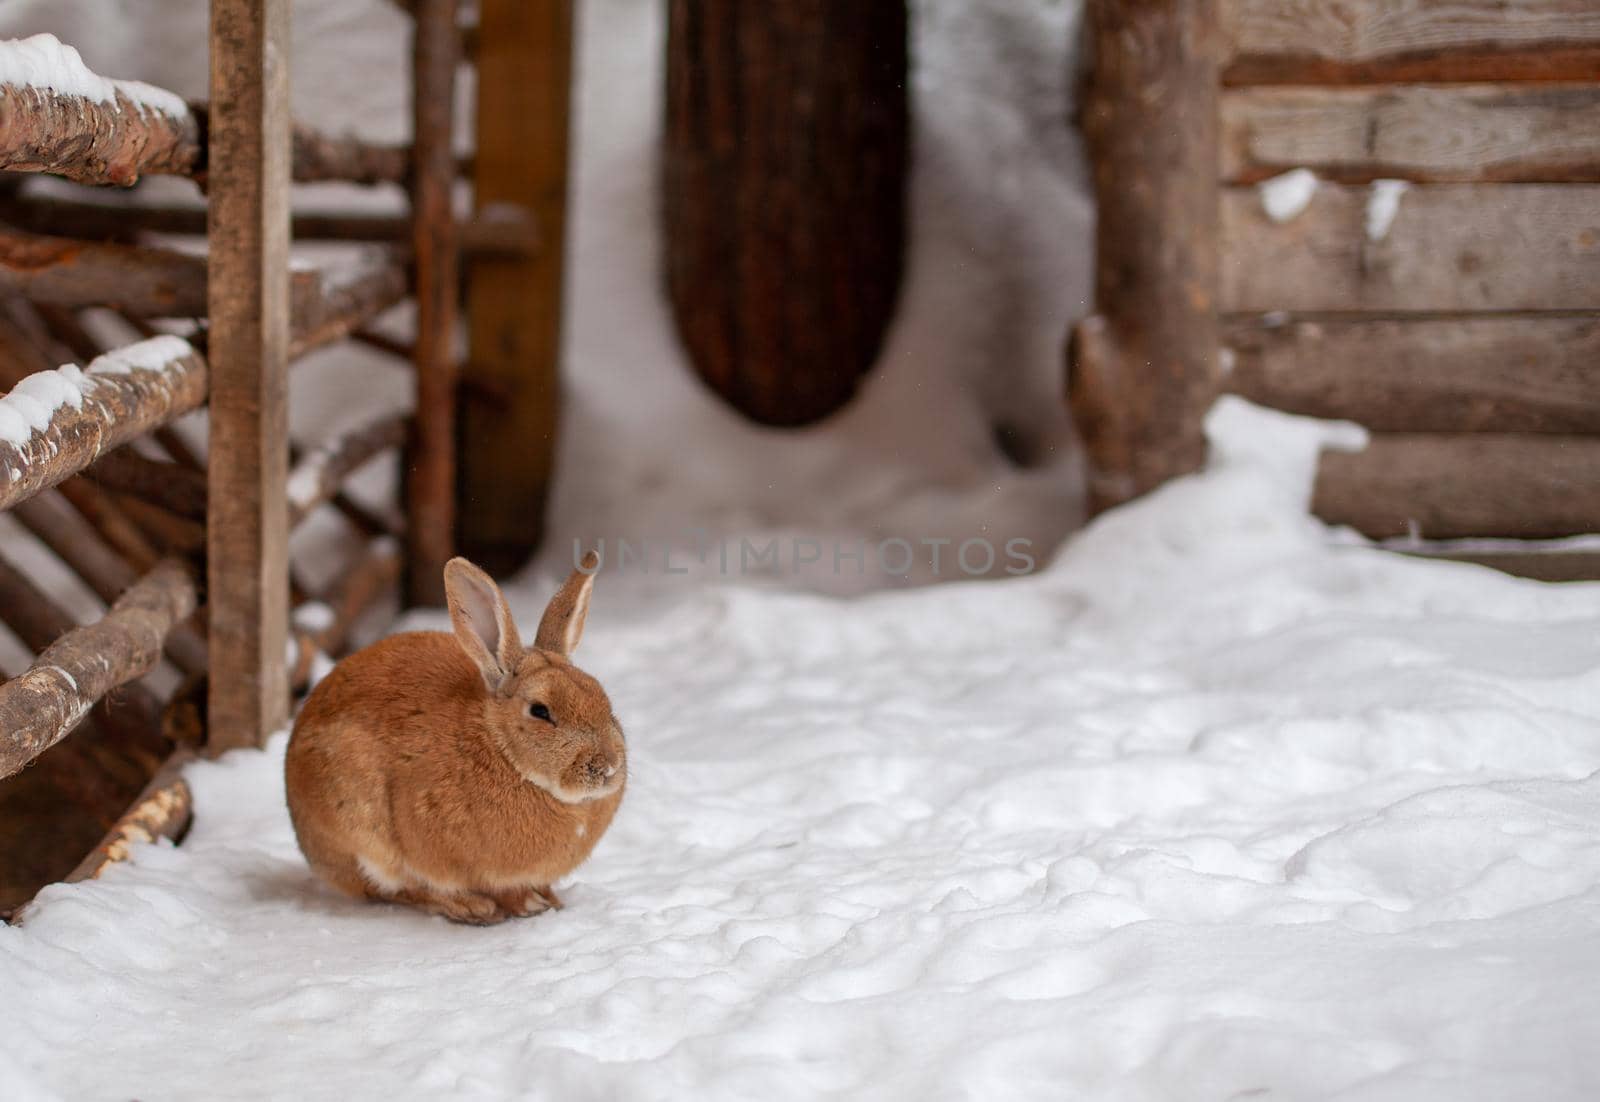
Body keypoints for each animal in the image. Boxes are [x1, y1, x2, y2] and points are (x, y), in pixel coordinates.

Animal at [284, 550, 620, 921]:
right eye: (540, 712)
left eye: (602, 697)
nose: (607, 767)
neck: (505, 753)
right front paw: (527, 904)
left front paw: (550, 900)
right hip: (358, 830)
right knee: (395, 888)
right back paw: (472, 908)